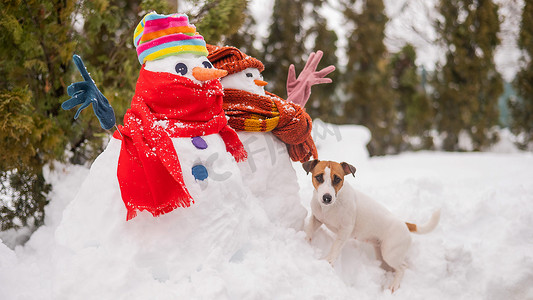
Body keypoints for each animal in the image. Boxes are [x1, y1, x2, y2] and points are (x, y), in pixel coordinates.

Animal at [302, 161, 438, 292]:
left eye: (337, 179)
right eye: (319, 177)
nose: (327, 198)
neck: (331, 205)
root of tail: (404, 224)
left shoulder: (345, 230)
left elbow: (335, 247)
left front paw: (327, 261)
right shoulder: (317, 218)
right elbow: (309, 229)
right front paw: (305, 242)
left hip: (390, 253)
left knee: (403, 267)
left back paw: (394, 285)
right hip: (381, 253)